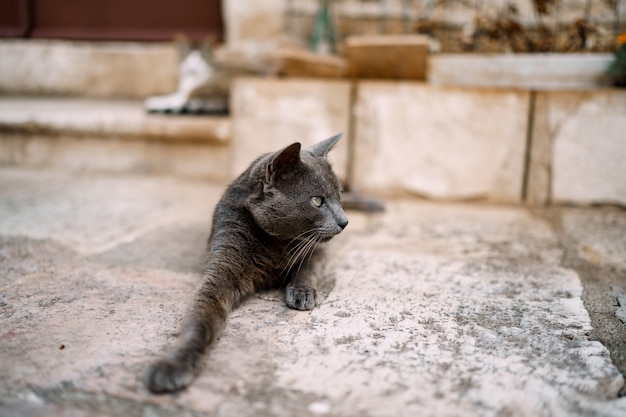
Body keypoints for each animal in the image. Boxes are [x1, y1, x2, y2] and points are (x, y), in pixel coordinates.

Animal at [146, 132, 348, 390]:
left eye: (340, 196)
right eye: (317, 201)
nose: (345, 221)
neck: (275, 244)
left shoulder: (317, 250)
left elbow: (307, 267)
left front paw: (301, 293)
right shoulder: (223, 260)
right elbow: (199, 320)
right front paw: (173, 365)